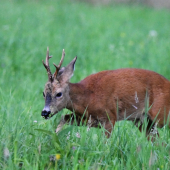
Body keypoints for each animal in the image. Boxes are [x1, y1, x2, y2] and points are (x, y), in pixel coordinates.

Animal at [41, 47, 170, 138]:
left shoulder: (109, 117)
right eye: (43, 93)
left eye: (59, 93)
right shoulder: (86, 119)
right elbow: (63, 119)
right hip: (143, 121)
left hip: (160, 113)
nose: (45, 112)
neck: (87, 96)